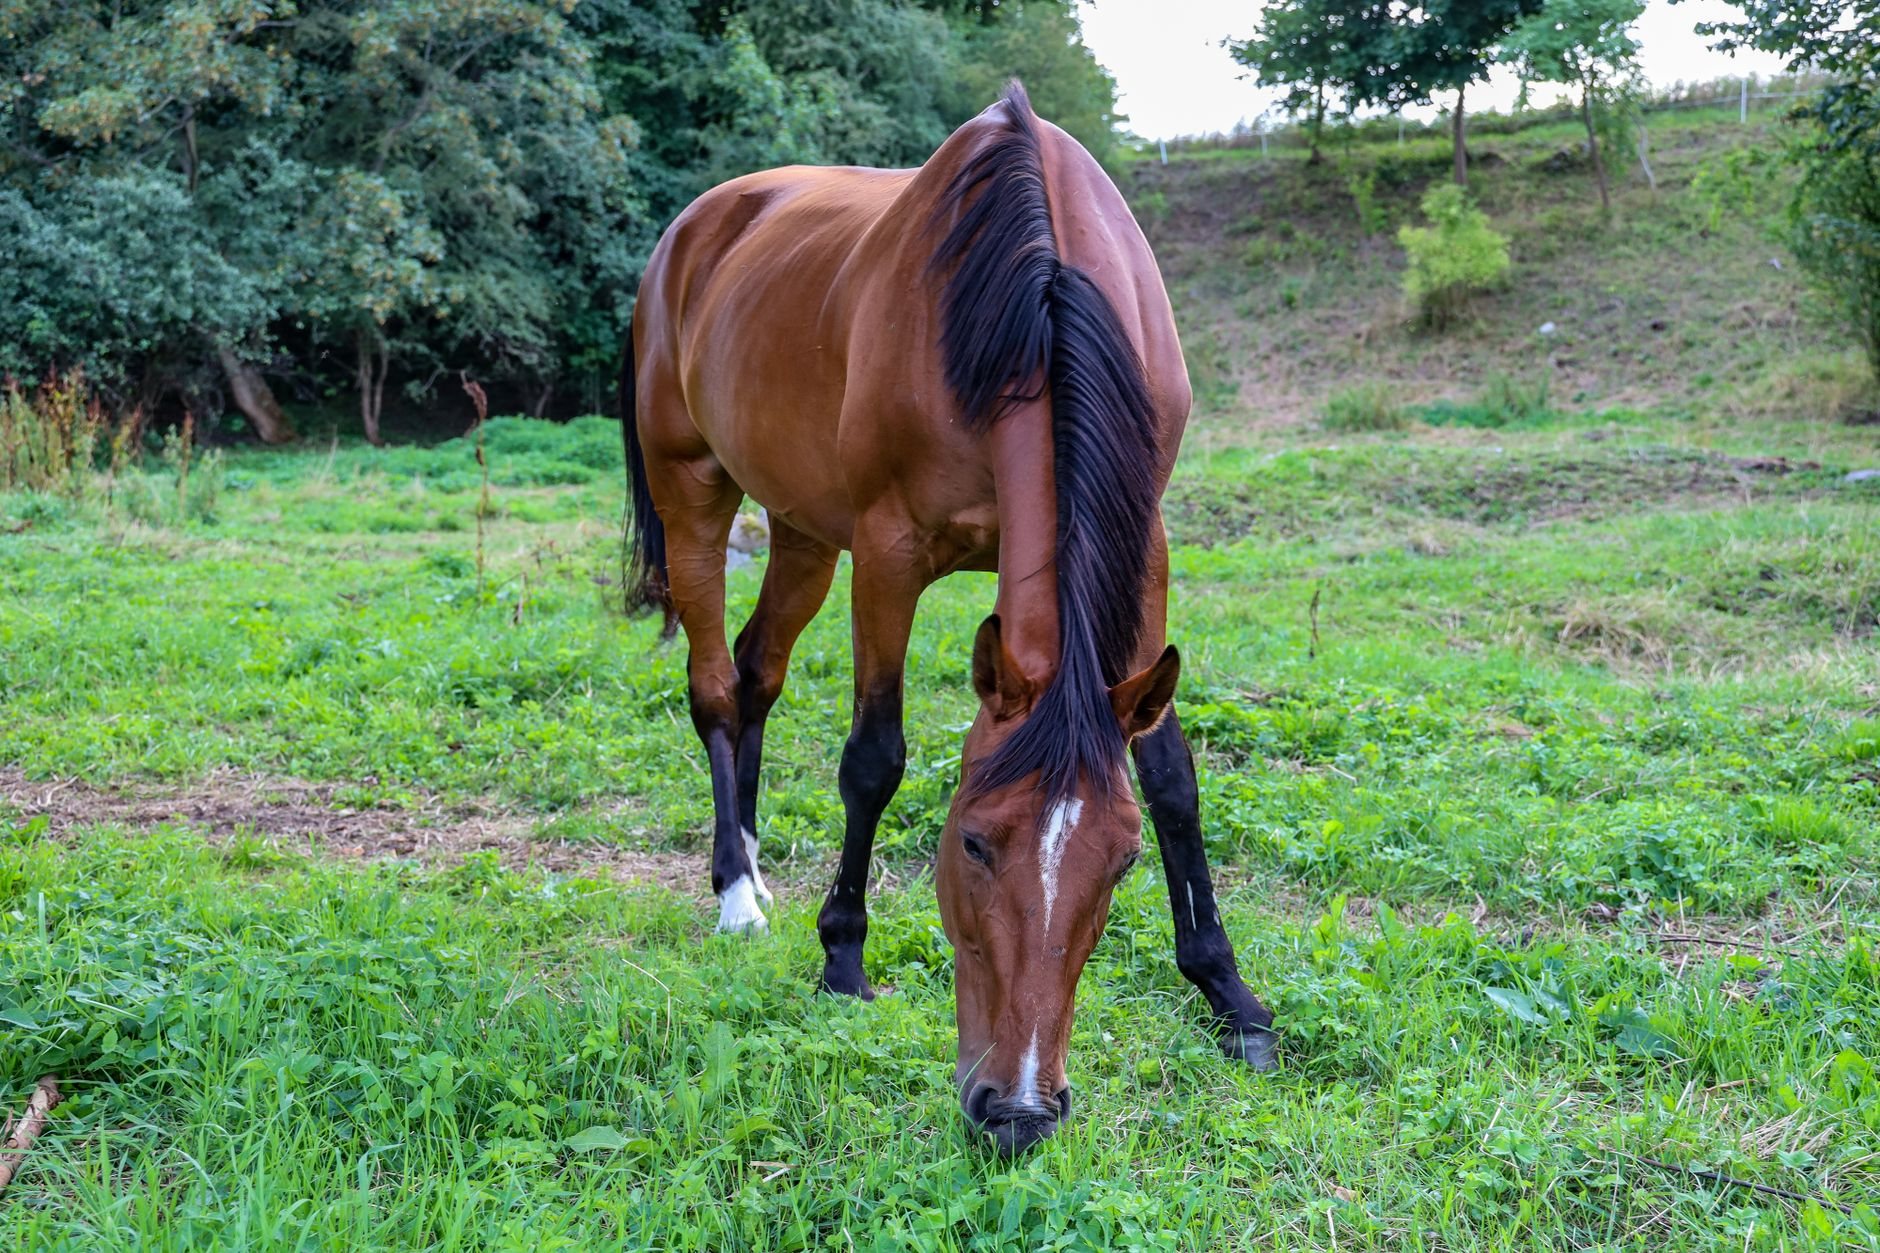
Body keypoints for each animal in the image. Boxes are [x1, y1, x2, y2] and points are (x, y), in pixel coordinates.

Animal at [623, 82, 1276, 1154]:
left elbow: (1174, 780)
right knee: (716, 686)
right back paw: (736, 896)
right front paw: (843, 958)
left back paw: (754, 862)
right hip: (697, 494)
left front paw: (1230, 994)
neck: (1032, 296)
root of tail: (694, 227)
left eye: (1122, 860)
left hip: (803, 529)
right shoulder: (890, 551)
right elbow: (872, 758)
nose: (1018, 1110)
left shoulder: (1144, 550)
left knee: (758, 674)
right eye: (971, 840)